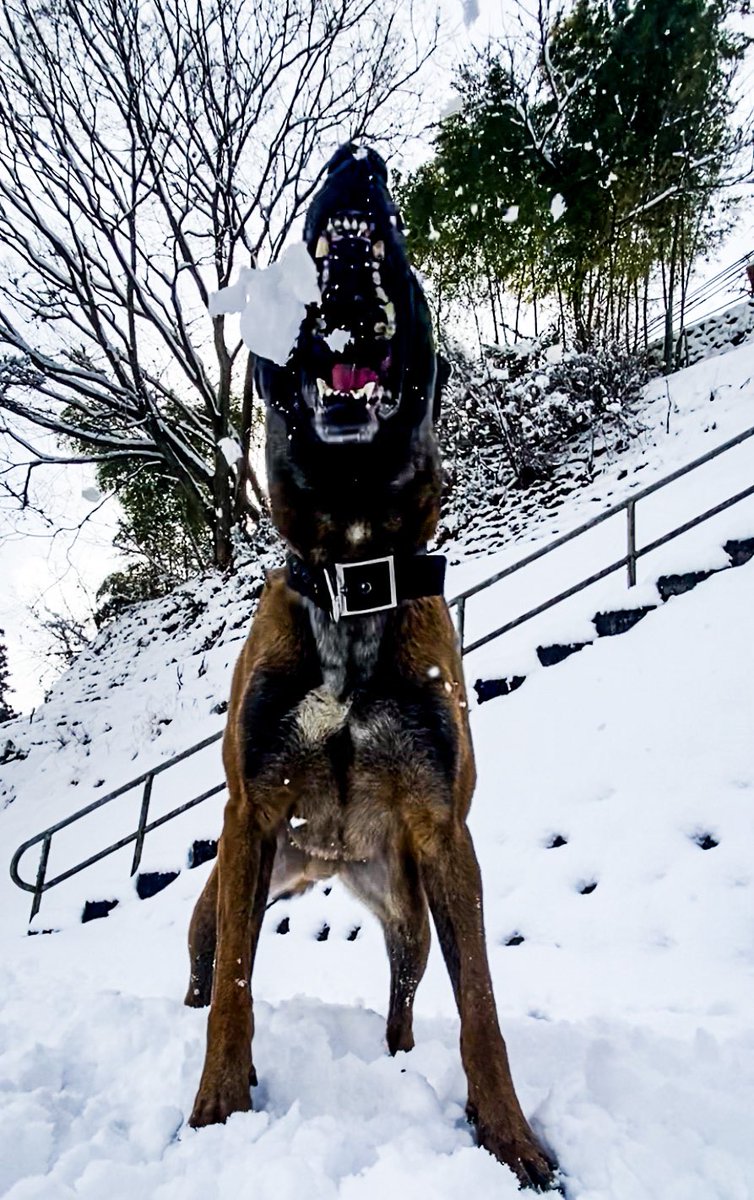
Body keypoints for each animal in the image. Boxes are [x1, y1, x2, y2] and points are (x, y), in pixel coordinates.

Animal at [186, 142, 557, 1190]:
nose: (356, 159)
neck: (353, 563)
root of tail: (332, 861)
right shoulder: (250, 814)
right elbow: (237, 990)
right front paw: (217, 1109)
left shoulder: (443, 831)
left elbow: (482, 1010)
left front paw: (511, 1141)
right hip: (227, 887)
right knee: (206, 971)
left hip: (409, 914)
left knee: (405, 1000)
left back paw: (398, 1063)